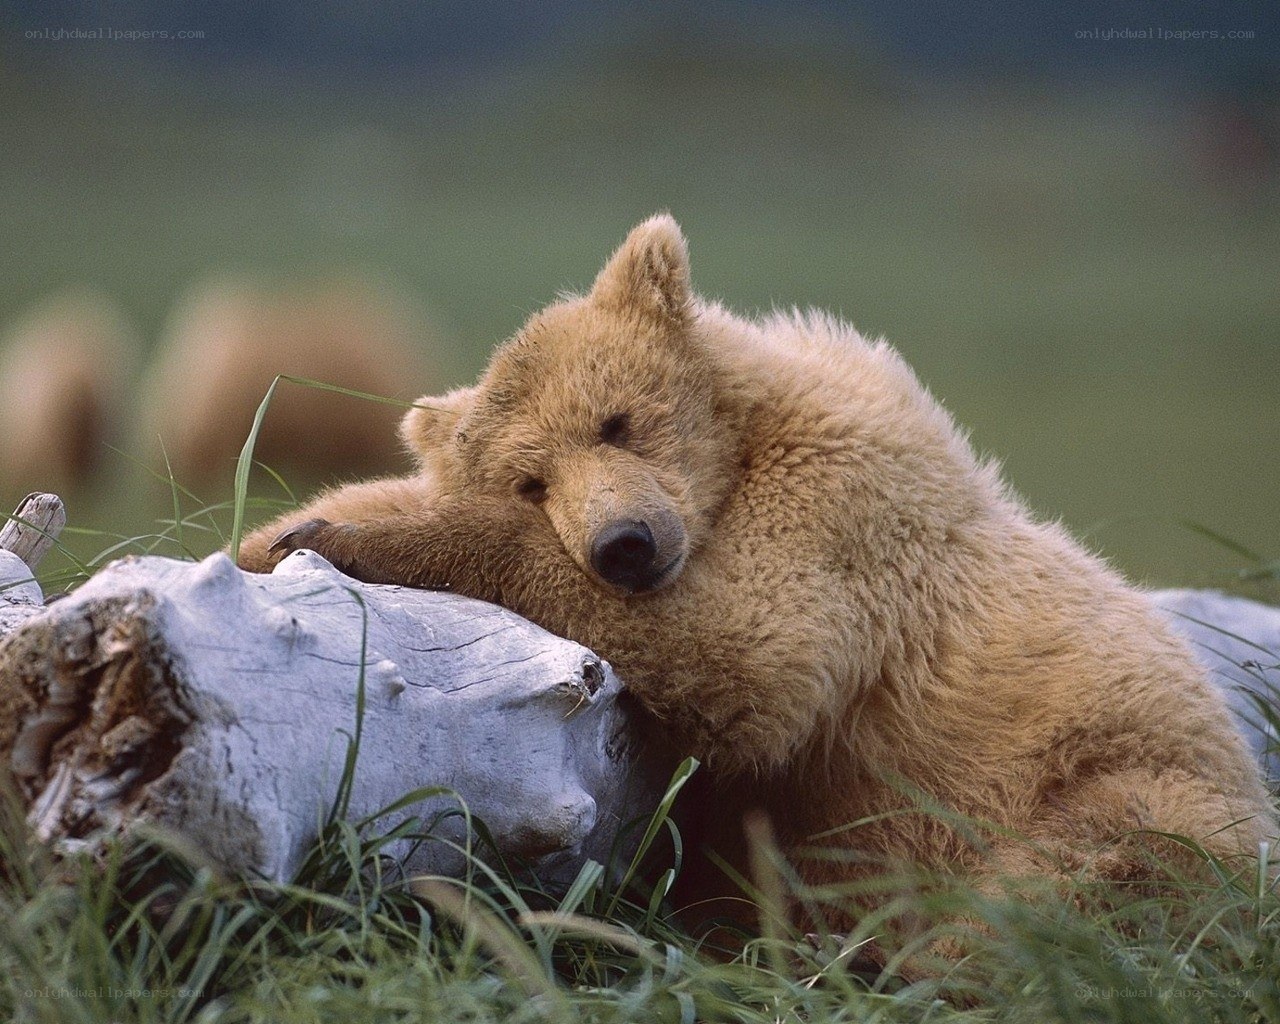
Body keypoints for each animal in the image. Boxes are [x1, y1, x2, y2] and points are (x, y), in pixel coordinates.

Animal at [238, 214, 1275, 936]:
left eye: (617, 420)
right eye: (532, 478)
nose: (624, 545)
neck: (740, 451)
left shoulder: (842, 511)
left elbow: (746, 649)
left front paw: (352, 539)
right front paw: (283, 530)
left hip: (1121, 785)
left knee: (1075, 881)